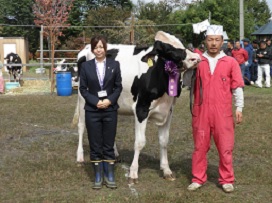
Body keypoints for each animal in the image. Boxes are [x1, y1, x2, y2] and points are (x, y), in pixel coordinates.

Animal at [71, 30, 201, 183]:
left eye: (182, 44)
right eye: (169, 49)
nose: (195, 58)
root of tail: (86, 47)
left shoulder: (168, 111)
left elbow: (164, 141)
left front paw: (166, 170)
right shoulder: (141, 109)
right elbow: (139, 142)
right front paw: (133, 172)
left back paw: (114, 155)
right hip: (83, 98)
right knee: (81, 126)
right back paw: (80, 157)